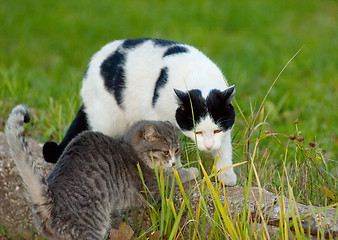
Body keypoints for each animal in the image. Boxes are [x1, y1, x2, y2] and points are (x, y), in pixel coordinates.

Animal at [5, 105, 180, 240]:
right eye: (166, 152)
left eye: (177, 150)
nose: (173, 162)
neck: (129, 148)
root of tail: (51, 201)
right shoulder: (151, 191)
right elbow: (174, 178)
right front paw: (183, 171)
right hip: (91, 229)